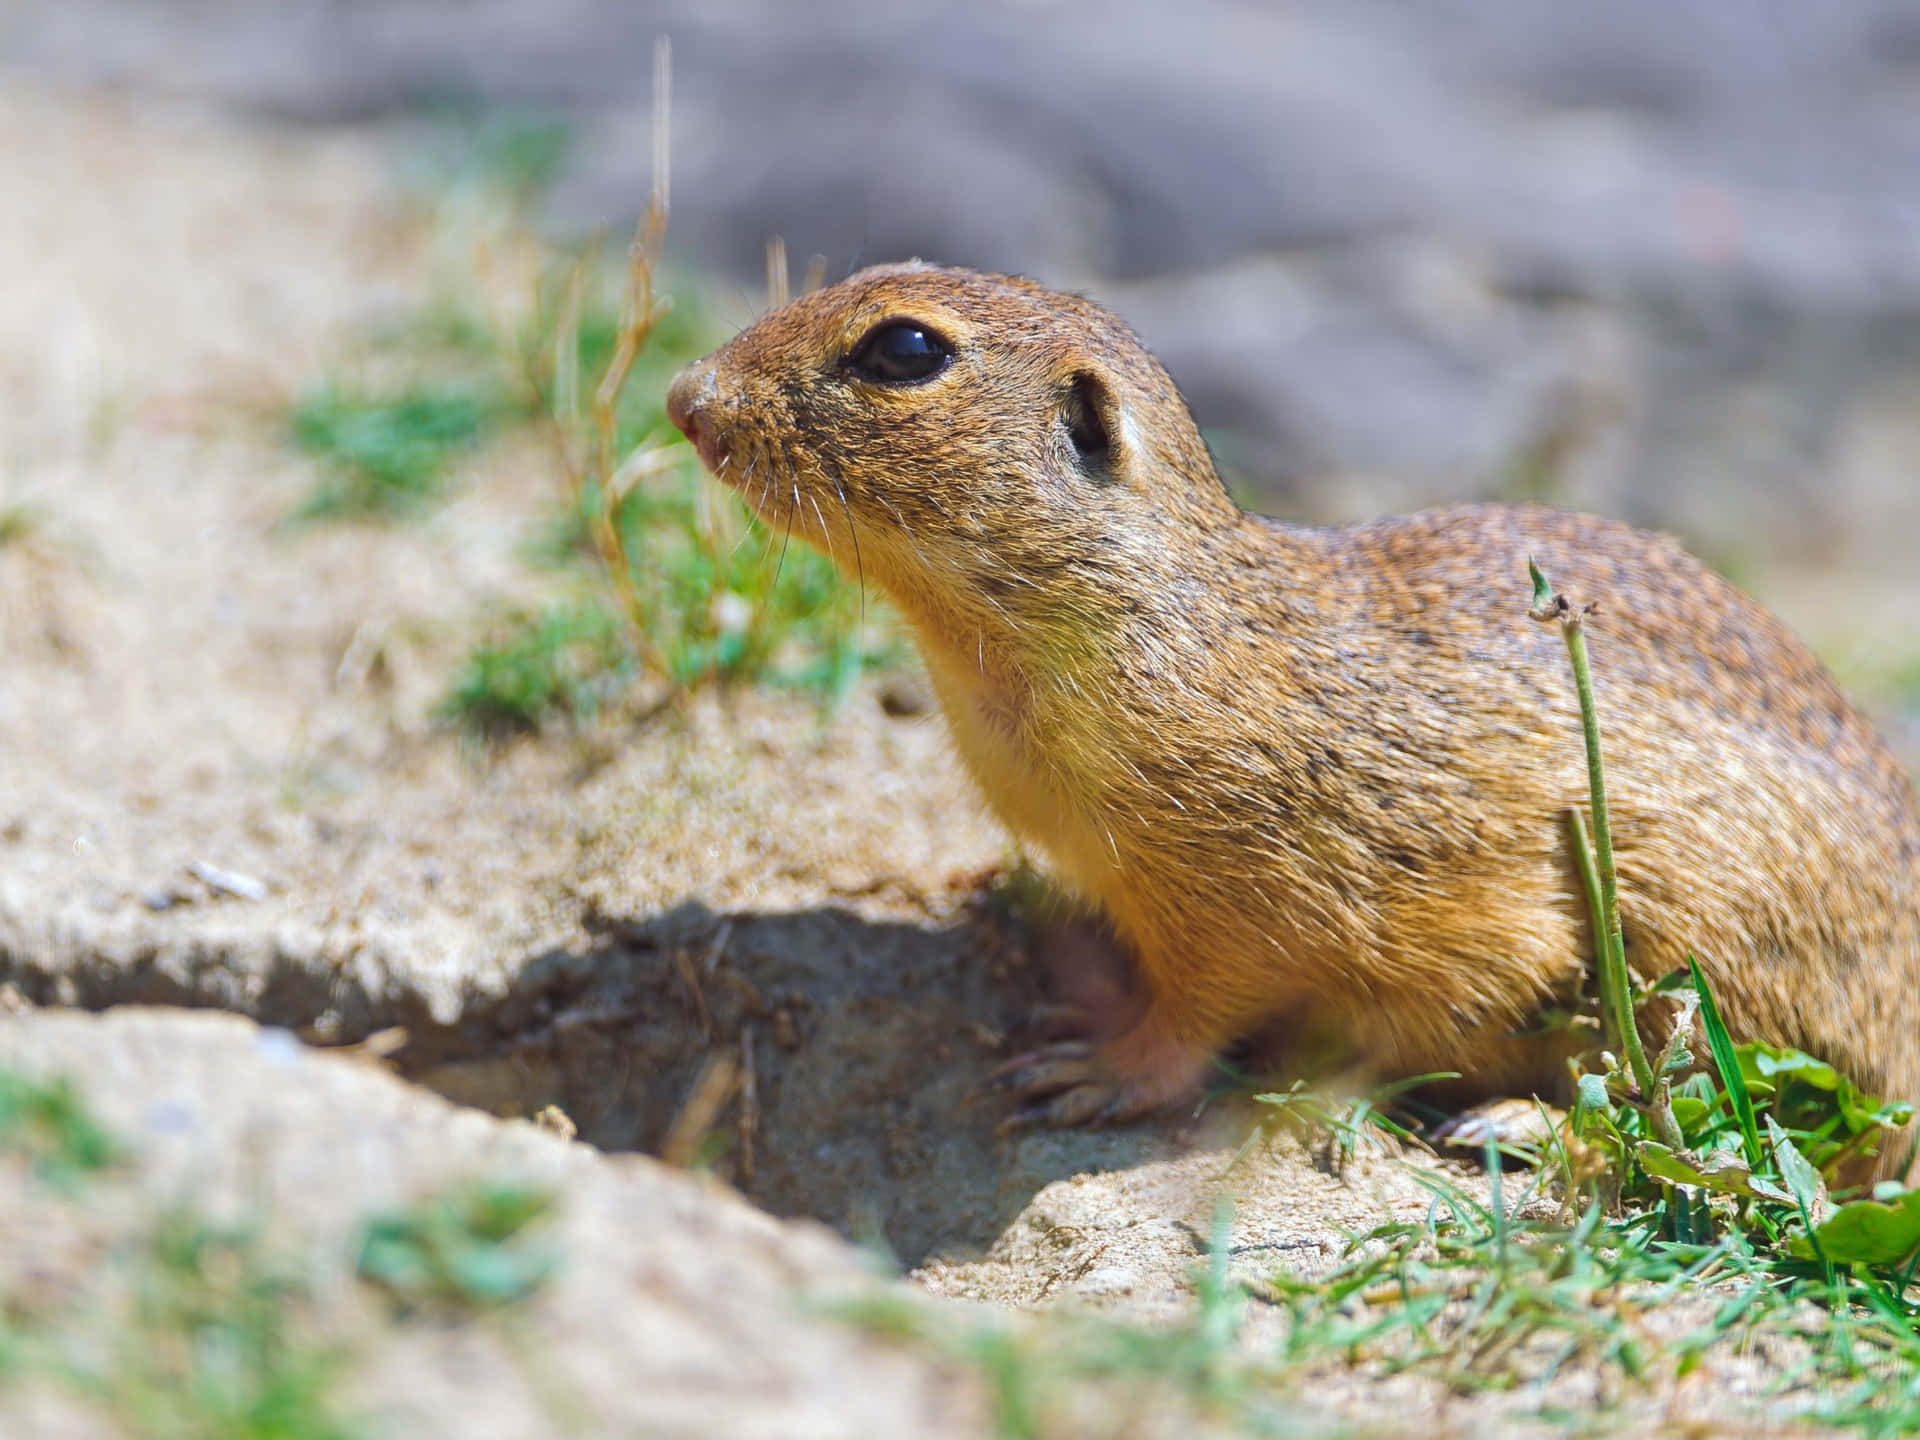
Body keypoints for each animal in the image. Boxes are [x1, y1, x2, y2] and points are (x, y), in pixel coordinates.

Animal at [664, 264, 1920, 1175]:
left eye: (905, 350)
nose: (685, 397)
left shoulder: (1249, 909)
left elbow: (1194, 1023)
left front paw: (1090, 1071)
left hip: (1702, 946)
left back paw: (1513, 1127)